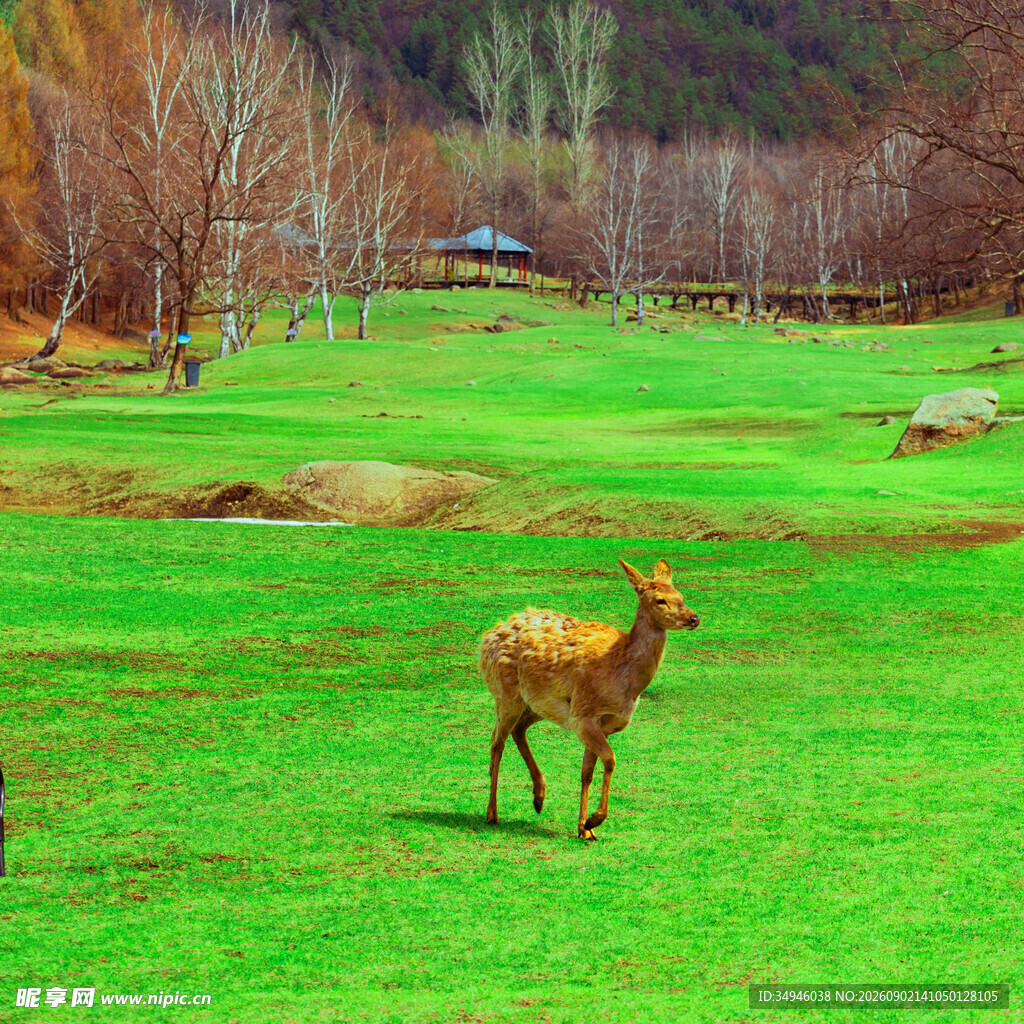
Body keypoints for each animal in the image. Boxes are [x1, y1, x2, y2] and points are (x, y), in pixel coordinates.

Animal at [479, 558, 700, 840]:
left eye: (681, 595)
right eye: (660, 600)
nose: (694, 618)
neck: (622, 680)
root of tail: (489, 635)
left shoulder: (600, 723)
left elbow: (587, 772)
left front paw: (584, 829)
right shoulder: (584, 715)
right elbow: (610, 760)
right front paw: (595, 820)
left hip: (537, 705)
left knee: (518, 730)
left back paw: (539, 797)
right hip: (506, 694)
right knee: (497, 742)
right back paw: (492, 813)